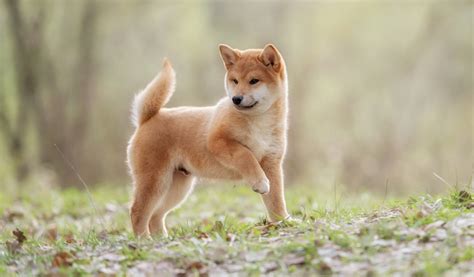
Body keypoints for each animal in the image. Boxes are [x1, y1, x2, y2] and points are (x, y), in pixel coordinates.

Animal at [126, 43, 288, 237]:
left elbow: (276, 200)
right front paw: (260, 182)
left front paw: (283, 222)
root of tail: (146, 119)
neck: (259, 121)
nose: (236, 98)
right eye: (235, 81)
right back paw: (144, 239)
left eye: (254, 81)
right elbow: (246, 156)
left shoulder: (272, 163)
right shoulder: (218, 141)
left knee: (155, 215)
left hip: (176, 187)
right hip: (155, 180)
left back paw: (162, 238)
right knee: (138, 212)